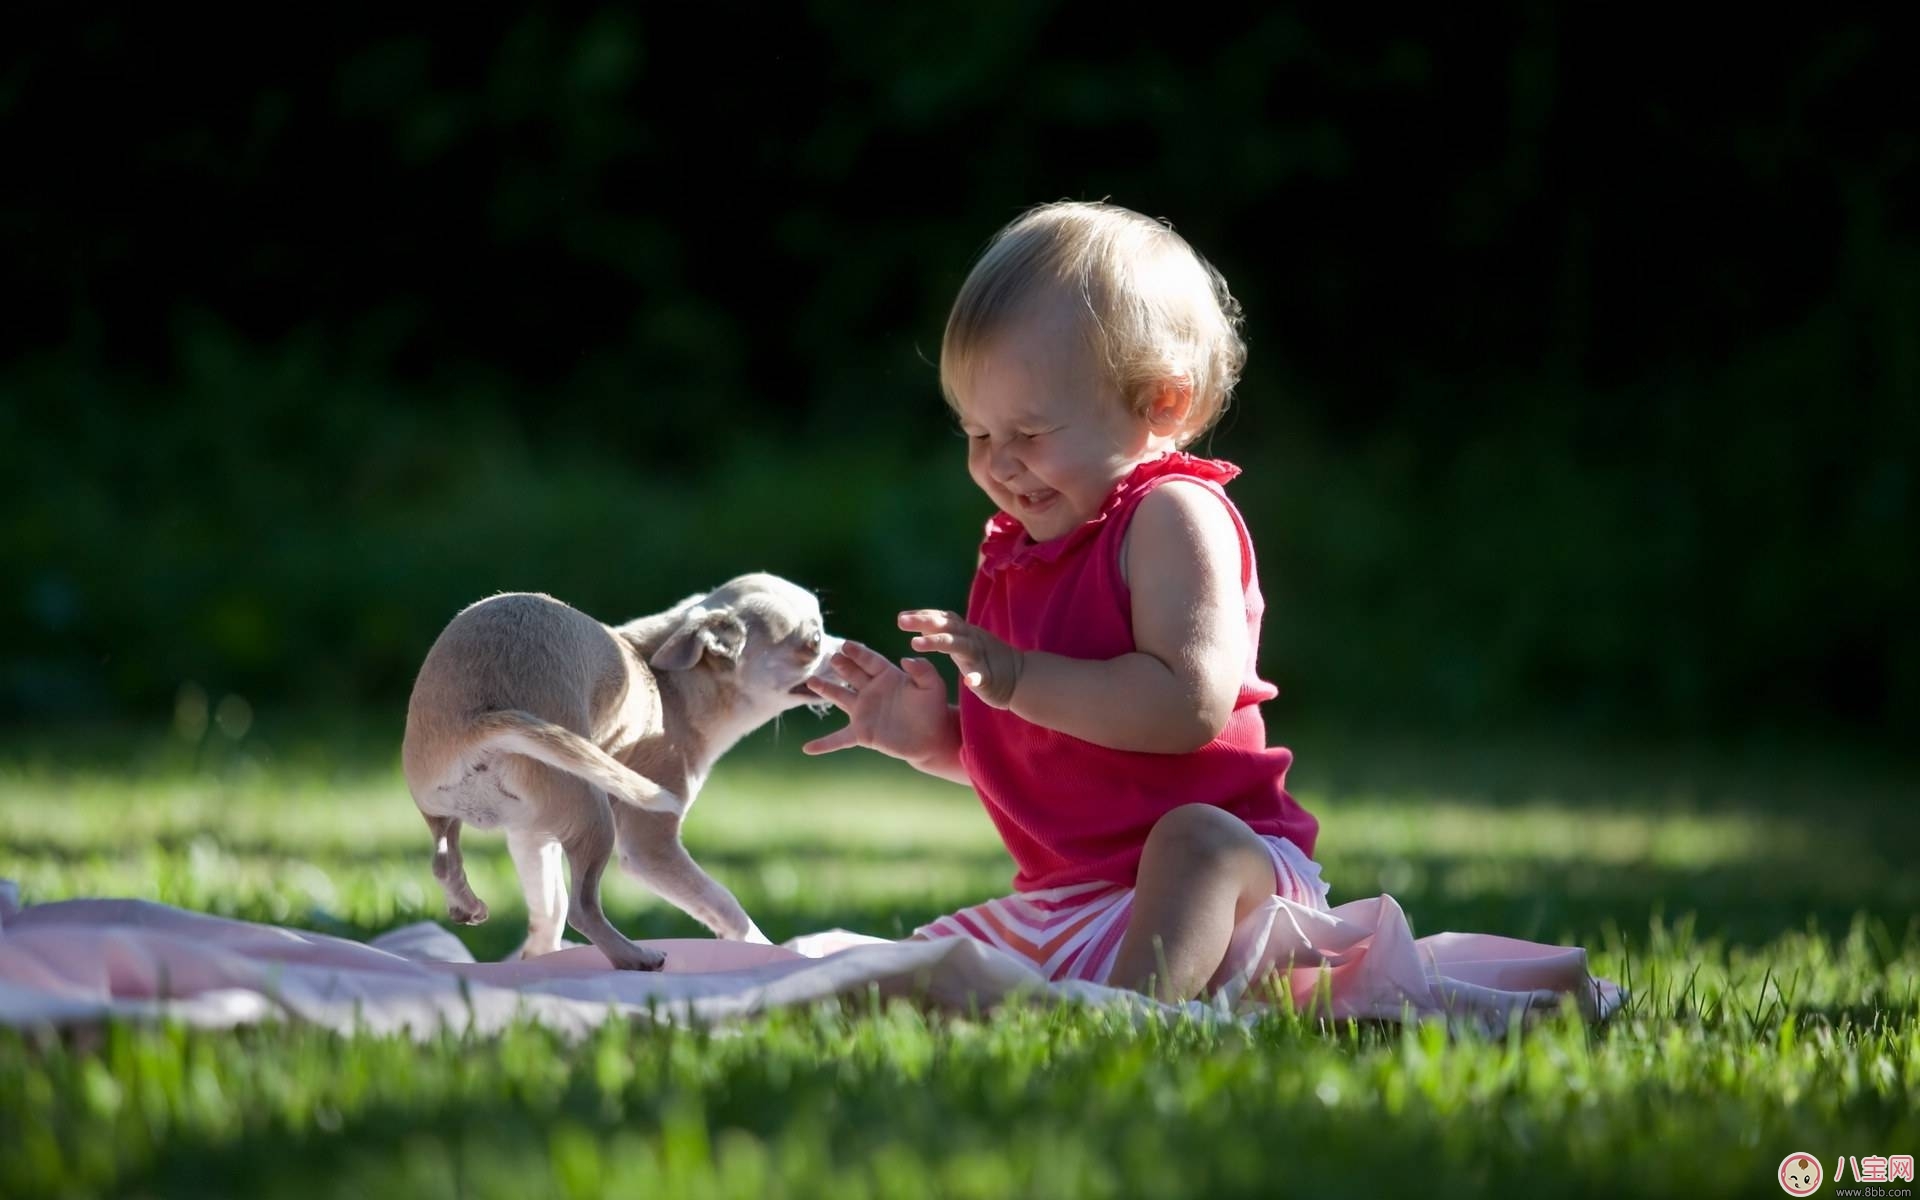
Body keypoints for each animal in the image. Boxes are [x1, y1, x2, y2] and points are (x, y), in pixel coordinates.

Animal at [397, 564, 833, 967]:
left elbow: (547, 908)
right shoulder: (649, 847)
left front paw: (540, 957)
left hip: (447, 806)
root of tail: (477, 722)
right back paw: (633, 956)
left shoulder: (530, 835)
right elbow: (722, 901)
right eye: (814, 641)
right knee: (582, 909)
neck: (671, 684)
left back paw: (467, 904)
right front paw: (762, 946)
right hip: (595, 816)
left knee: (445, 860)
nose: (844, 647)